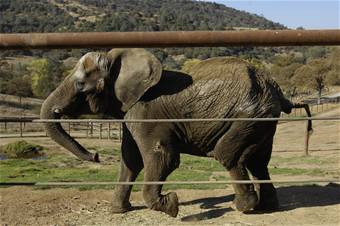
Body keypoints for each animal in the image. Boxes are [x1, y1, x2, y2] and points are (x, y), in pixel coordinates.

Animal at [39, 48, 310, 217]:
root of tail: (277, 90)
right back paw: (267, 208)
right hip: (262, 120)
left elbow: (162, 157)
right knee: (258, 161)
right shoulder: (132, 112)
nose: (95, 155)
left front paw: (172, 205)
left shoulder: (146, 112)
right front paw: (118, 211)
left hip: (249, 116)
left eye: (80, 85)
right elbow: (131, 159)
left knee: (229, 155)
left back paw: (242, 206)